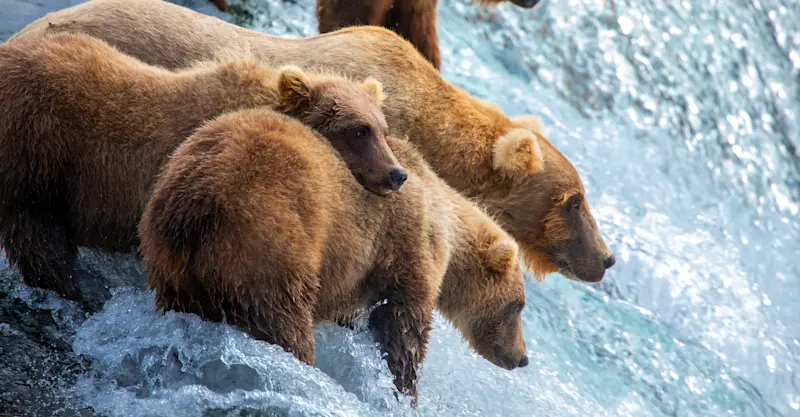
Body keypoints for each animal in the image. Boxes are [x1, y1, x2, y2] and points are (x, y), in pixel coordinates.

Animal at [139, 106, 529, 404]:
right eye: (518, 307)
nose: (522, 357)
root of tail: (196, 202)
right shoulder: (407, 250)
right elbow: (405, 329)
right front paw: (404, 391)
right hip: (269, 237)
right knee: (284, 319)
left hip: (168, 255)